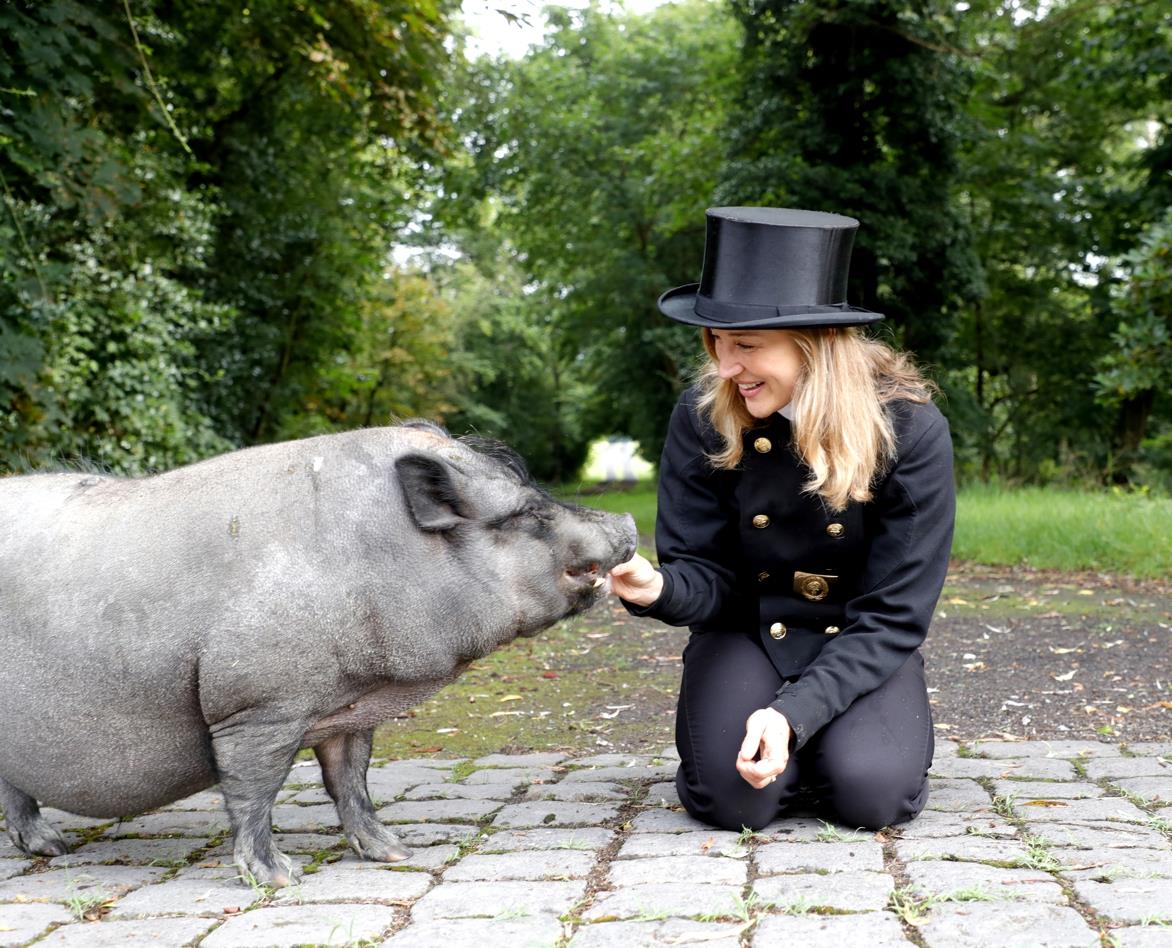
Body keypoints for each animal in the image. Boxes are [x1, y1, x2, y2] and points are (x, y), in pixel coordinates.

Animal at [0, 421, 637, 885]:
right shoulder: (255, 707)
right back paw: (51, 848)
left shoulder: (348, 709)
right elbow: (253, 791)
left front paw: (396, 853)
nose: (627, 519)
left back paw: (50, 849)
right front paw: (280, 878)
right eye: (529, 515)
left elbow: (350, 782)